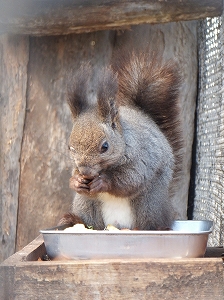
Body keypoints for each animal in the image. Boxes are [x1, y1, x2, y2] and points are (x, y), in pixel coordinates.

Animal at [59, 51, 182, 230]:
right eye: (70, 148)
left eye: (105, 146)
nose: (85, 172)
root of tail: (118, 224)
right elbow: (74, 173)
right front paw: (76, 180)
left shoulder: (142, 157)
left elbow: (131, 178)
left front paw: (103, 181)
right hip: (86, 203)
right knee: (91, 222)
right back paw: (74, 220)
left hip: (149, 201)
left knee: (152, 221)